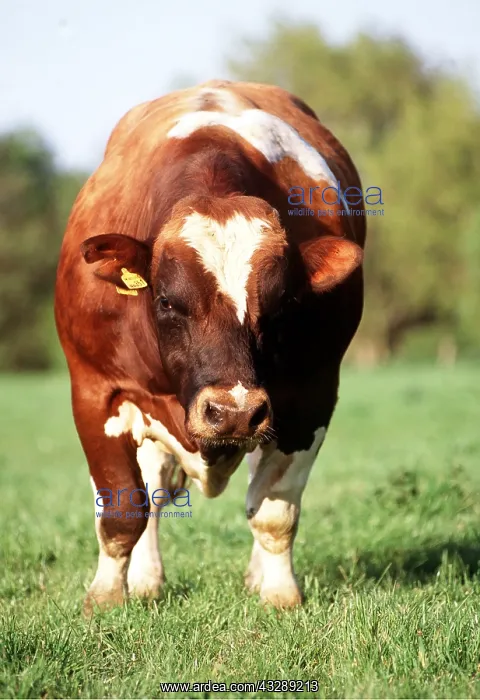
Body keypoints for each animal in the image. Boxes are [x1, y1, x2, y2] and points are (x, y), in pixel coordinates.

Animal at [55, 79, 366, 614]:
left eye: (284, 302)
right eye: (166, 300)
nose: (233, 412)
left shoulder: (312, 395)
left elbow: (274, 509)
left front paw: (281, 594)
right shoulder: (96, 390)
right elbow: (122, 510)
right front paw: (106, 596)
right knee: (155, 491)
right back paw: (147, 579)